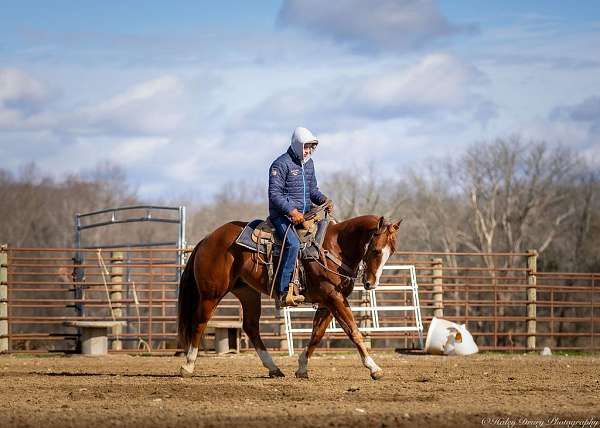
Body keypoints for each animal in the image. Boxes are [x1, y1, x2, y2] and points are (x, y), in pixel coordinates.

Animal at [178, 216, 404, 380]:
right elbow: (354, 332)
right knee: (199, 323)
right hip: (211, 294)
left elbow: (317, 335)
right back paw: (188, 365)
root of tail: (207, 239)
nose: (371, 284)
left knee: (251, 327)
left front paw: (302, 368)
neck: (334, 248)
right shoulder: (334, 298)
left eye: (391, 252)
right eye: (375, 250)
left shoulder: (328, 303)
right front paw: (374, 368)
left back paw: (274, 369)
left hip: (247, 293)